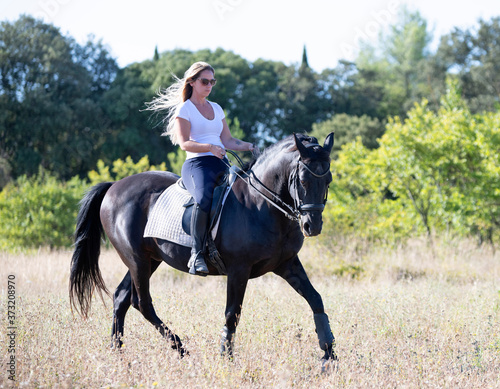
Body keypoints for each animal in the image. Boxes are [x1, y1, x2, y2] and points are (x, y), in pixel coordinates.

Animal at [69, 133, 336, 364]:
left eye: (328, 180)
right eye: (303, 180)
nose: (312, 225)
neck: (261, 204)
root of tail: (115, 186)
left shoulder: (286, 264)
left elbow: (316, 299)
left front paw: (329, 355)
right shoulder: (239, 270)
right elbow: (232, 314)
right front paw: (226, 359)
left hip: (149, 259)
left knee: (121, 298)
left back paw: (117, 352)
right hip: (137, 260)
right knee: (142, 303)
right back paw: (181, 349)